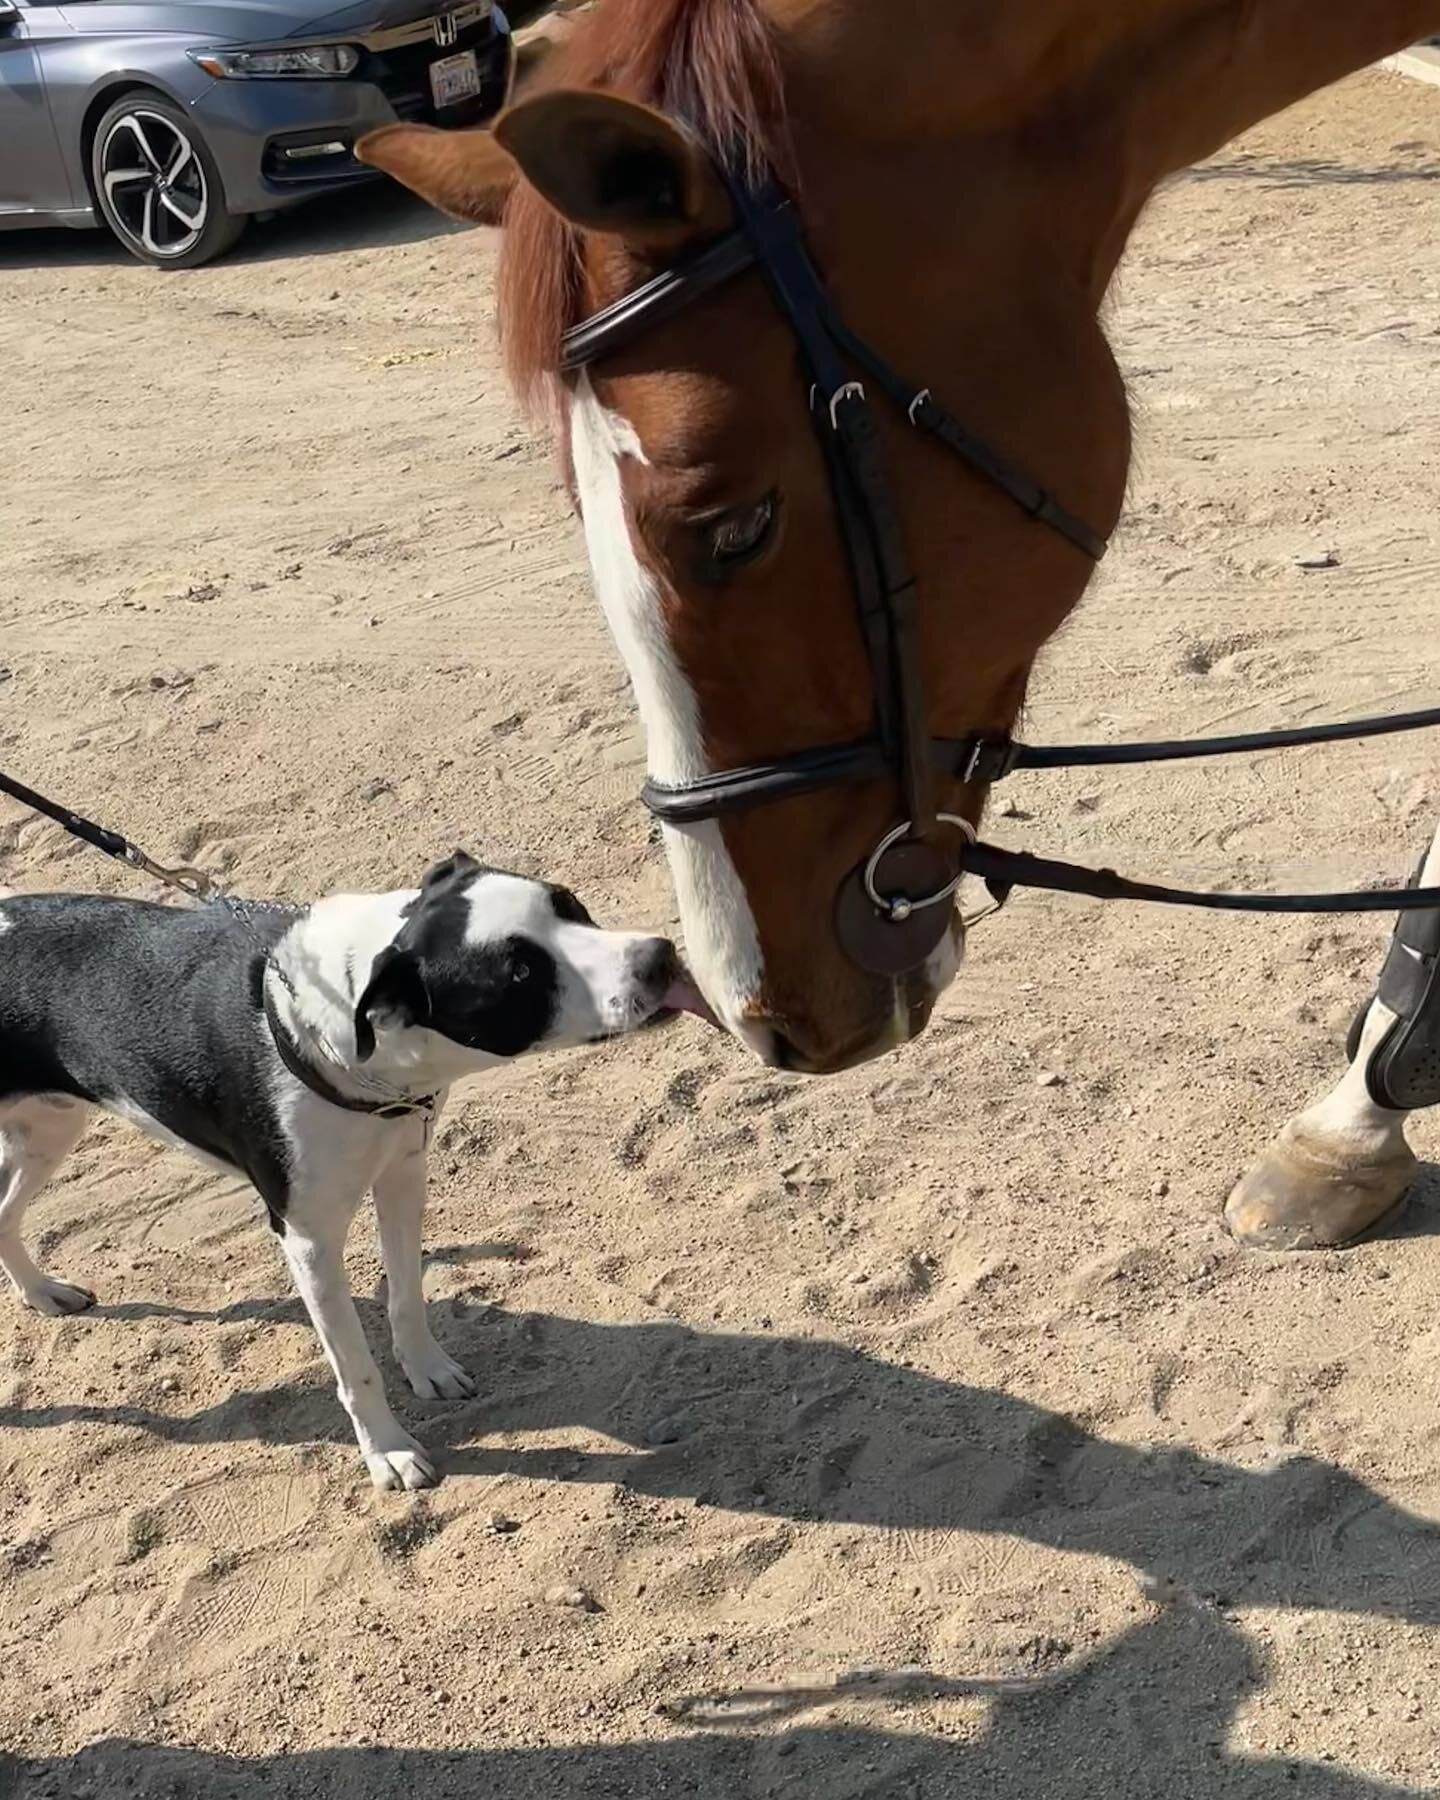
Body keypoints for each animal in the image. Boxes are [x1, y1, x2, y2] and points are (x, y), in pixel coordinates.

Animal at [0, 853, 698, 1490]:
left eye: (569, 903)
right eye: (520, 973)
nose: (659, 957)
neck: (342, 1036)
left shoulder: (403, 1177)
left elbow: (406, 1298)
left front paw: (428, 1370)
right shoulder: (308, 1239)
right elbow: (356, 1367)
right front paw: (388, 1451)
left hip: (48, 1131)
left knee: (5, 1215)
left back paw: (43, 1294)